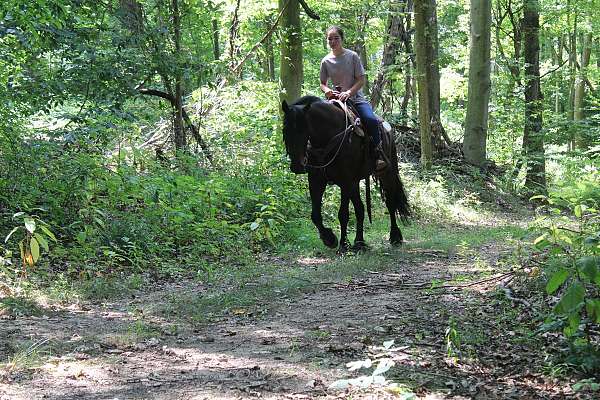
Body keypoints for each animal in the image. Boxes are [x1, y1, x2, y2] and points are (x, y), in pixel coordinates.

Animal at [284, 95, 410, 252]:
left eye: (304, 130)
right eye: (285, 130)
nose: (297, 165)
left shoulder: (345, 181)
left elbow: (343, 214)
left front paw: (343, 245)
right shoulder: (316, 180)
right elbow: (315, 215)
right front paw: (329, 238)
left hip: (386, 174)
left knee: (390, 203)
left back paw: (394, 237)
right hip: (355, 183)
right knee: (360, 209)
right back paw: (360, 242)